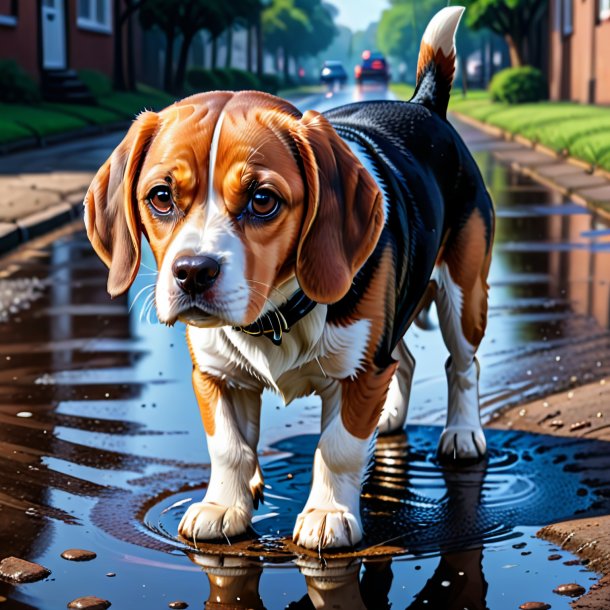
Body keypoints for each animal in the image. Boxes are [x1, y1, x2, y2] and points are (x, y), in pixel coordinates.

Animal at [85, 4, 492, 548]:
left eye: (262, 200)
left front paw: (328, 514)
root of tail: (423, 105)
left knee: (462, 364)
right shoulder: (214, 374)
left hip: (463, 296)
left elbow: (337, 446)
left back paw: (462, 434)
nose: (192, 273)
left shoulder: (360, 372)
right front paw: (224, 506)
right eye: (161, 197)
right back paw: (389, 417)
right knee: (403, 359)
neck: (275, 316)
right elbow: (229, 447)